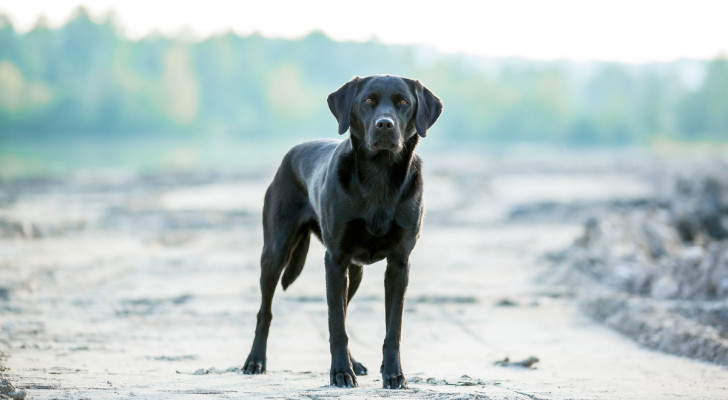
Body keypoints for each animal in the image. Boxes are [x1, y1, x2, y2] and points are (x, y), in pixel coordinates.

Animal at [245, 74, 440, 388]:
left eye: (403, 102)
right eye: (368, 100)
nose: (384, 124)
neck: (379, 176)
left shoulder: (399, 263)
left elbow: (392, 328)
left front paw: (393, 374)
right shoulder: (335, 260)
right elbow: (336, 324)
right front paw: (340, 373)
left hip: (354, 272)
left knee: (345, 309)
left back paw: (355, 362)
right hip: (275, 252)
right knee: (266, 311)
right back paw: (255, 361)